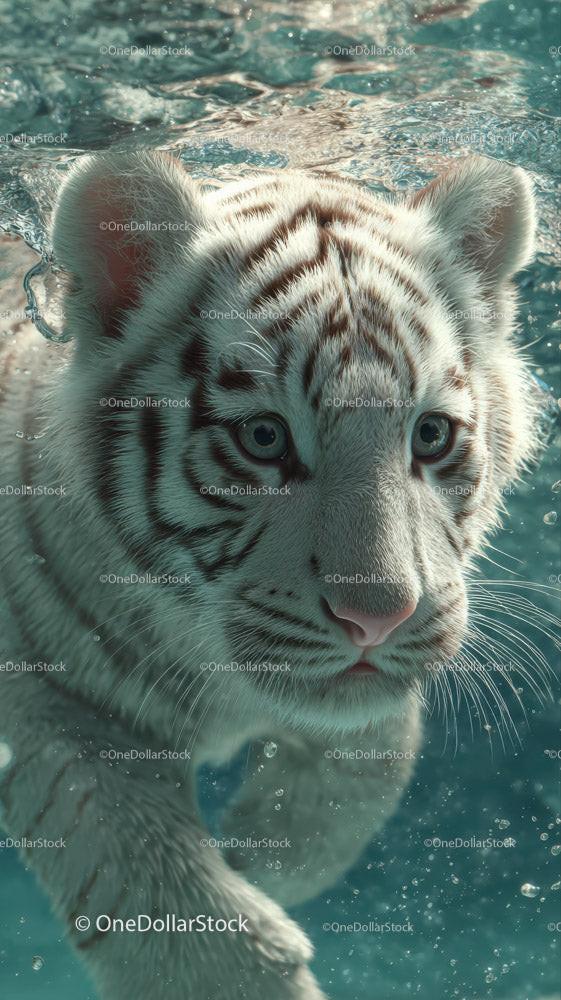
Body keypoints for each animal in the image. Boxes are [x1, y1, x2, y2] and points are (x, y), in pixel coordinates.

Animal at [0, 151, 537, 1000]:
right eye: (262, 438)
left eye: (429, 435)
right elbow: (127, 849)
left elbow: (374, 758)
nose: (378, 617)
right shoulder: (39, 689)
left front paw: (261, 853)